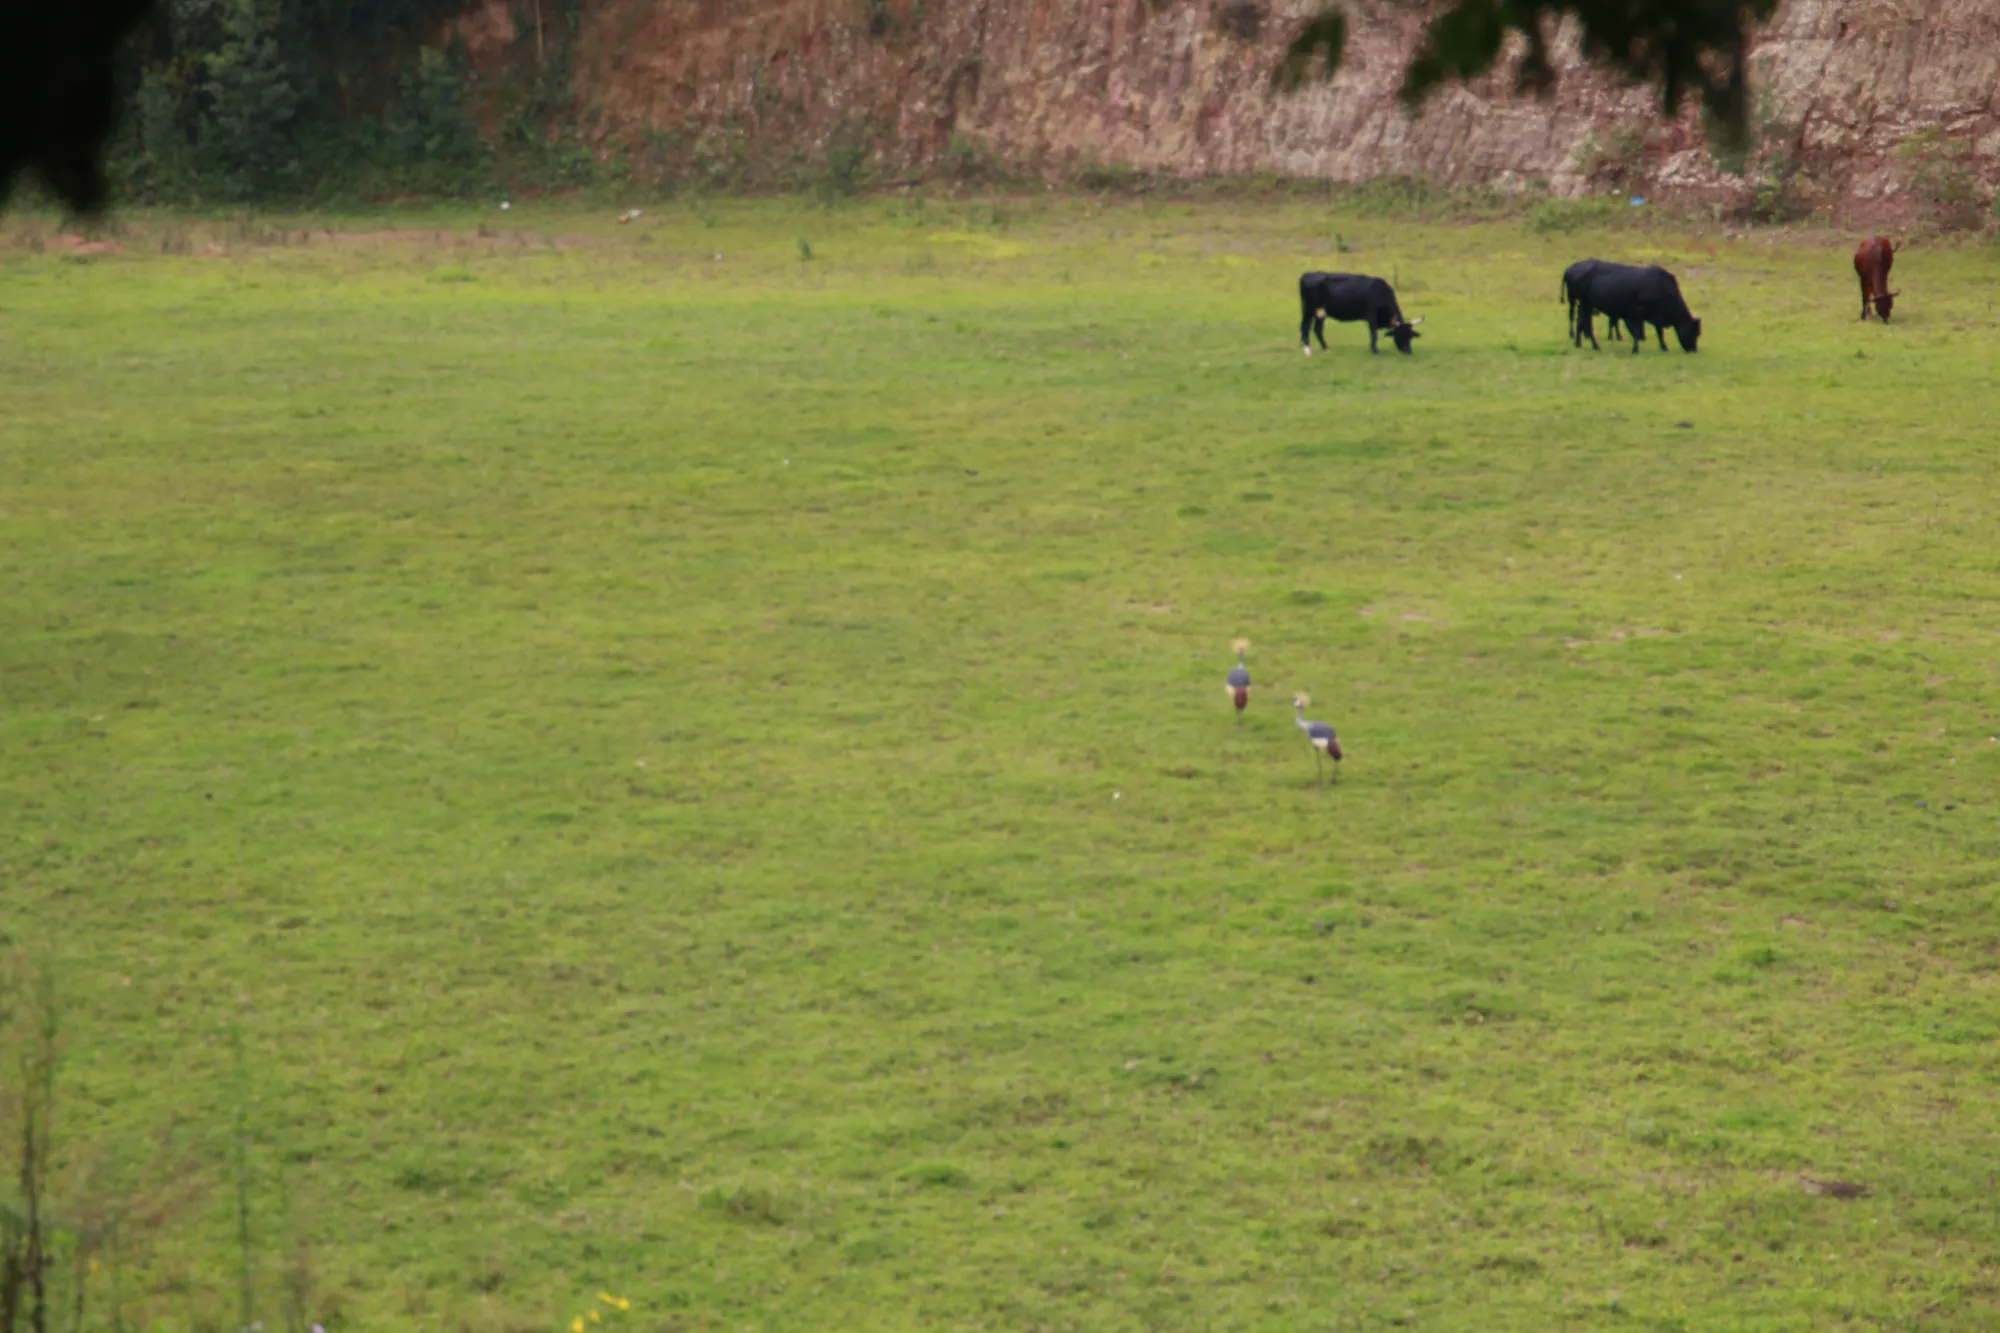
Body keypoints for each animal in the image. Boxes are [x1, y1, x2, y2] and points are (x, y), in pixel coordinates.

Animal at [1571, 262, 1701, 353]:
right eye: (1694, 332)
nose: (1693, 350)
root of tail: (1573, 268)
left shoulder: (1656, 316)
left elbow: (1659, 331)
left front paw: (1664, 347)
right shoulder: (1639, 311)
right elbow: (1638, 331)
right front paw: (1635, 349)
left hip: (1584, 305)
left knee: (1580, 322)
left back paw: (1578, 344)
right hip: (1585, 304)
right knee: (1585, 324)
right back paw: (1595, 345)